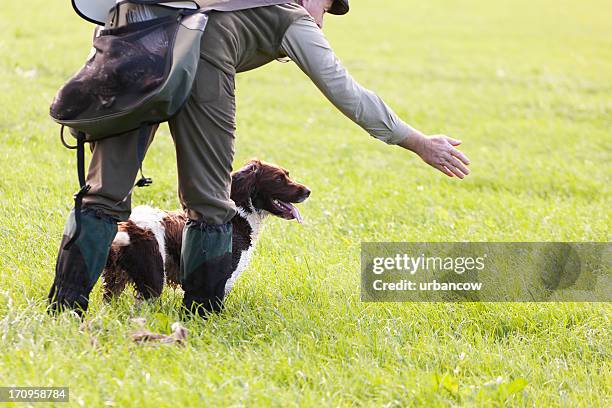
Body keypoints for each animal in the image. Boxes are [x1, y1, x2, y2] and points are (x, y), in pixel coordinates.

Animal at [102, 159, 310, 300]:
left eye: (287, 174)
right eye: (278, 179)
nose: (308, 191)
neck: (239, 216)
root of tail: (128, 227)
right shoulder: (224, 277)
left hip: (115, 281)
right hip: (152, 279)